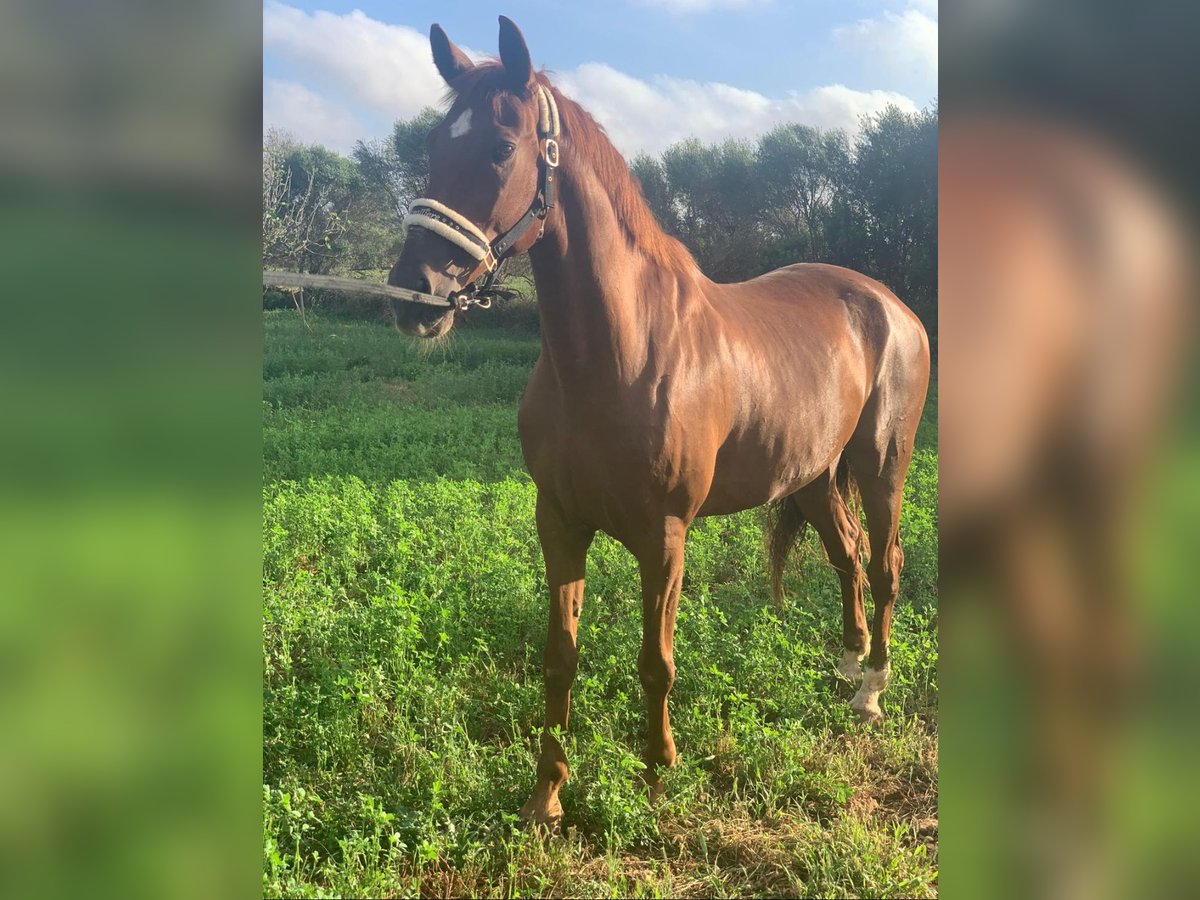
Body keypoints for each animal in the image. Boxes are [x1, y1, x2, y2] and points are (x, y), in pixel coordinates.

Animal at [388, 15, 931, 830]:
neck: (619, 352)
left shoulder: (664, 534)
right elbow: (560, 657)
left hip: (880, 465)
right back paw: (844, 667)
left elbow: (657, 661)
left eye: (500, 146)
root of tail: (890, 306)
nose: (411, 294)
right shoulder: (560, 522)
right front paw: (546, 795)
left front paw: (654, 775)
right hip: (810, 476)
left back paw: (870, 689)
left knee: (886, 562)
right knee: (848, 557)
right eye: (429, 145)